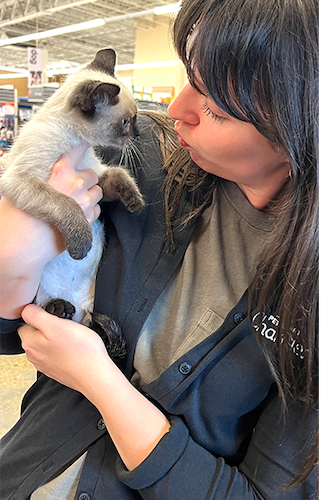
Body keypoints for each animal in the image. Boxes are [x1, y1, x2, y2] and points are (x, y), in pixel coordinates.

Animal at [0, 47, 145, 360]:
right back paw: (59, 308)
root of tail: (80, 314)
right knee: (35, 311)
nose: (138, 135)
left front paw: (135, 202)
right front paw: (81, 245)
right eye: (127, 122)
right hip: (35, 294)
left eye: (135, 119)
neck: (75, 142)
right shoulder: (20, 180)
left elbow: (120, 174)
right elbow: (67, 205)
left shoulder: (97, 179)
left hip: (88, 309)